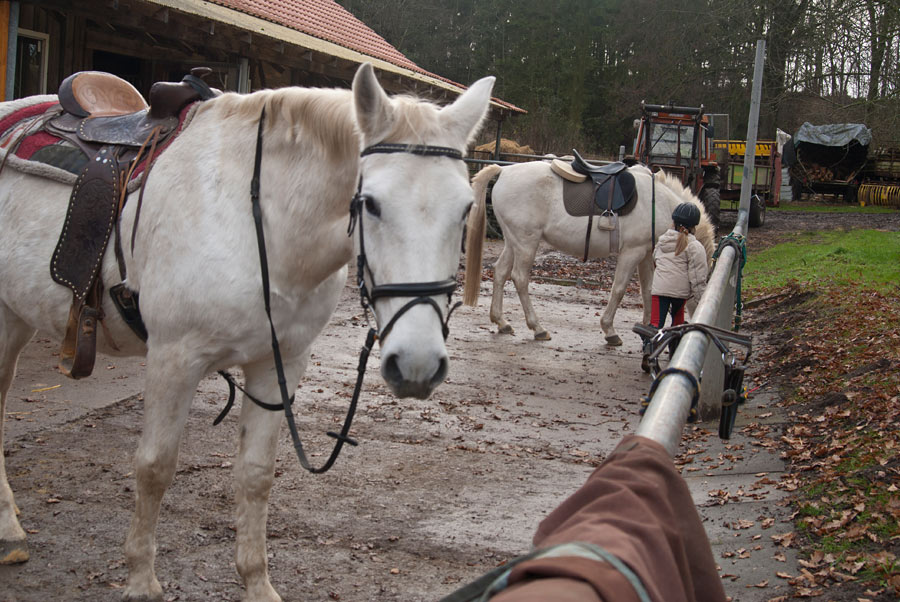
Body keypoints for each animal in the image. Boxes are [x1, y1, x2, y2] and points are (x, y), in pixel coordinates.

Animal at [0, 63, 494, 601]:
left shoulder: (279, 364)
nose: (417, 365)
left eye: (466, 209)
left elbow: (256, 475)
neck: (258, 221)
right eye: (370, 204)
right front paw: (141, 580)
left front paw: (257, 583)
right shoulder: (174, 359)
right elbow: (154, 467)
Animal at [462, 161, 715, 345]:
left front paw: (649, 329)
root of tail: (504, 170)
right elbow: (619, 290)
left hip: (513, 242)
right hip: (526, 243)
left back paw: (501, 322)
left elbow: (649, 291)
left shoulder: (645, 255)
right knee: (520, 278)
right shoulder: (631, 253)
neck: (659, 203)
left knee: (500, 272)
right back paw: (538, 328)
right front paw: (610, 330)